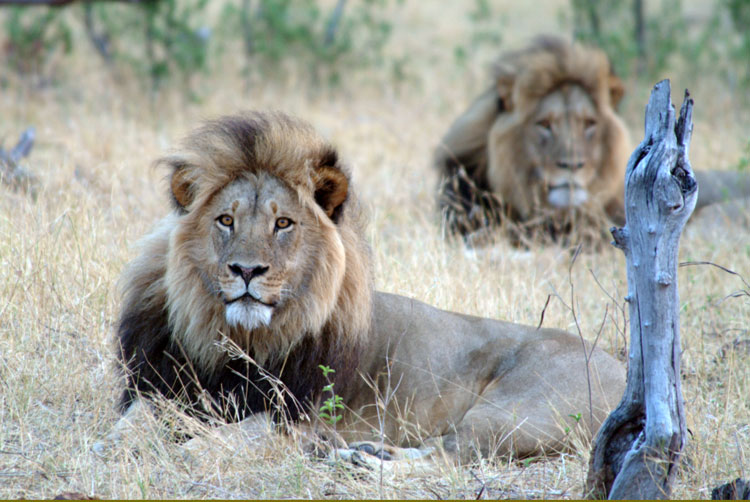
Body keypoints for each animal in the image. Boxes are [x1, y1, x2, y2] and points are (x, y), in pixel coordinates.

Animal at [110, 111, 625, 463]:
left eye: (283, 223)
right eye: (225, 220)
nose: (246, 270)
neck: (238, 340)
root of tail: (622, 366)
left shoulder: (298, 418)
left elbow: (234, 434)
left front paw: (189, 449)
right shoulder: (161, 385)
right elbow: (136, 418)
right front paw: (113, 443)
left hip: (516, 413)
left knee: (451, 456)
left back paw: (363, 459)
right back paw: (363, 454)